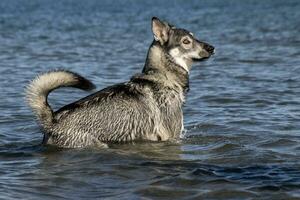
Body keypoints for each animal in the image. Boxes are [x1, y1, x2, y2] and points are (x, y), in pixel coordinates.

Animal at [25, 17, 213, 148]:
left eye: (195, 37)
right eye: (186, 42)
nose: (212, 47)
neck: (163, 77)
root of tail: (52, 121)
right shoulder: (171, 137)